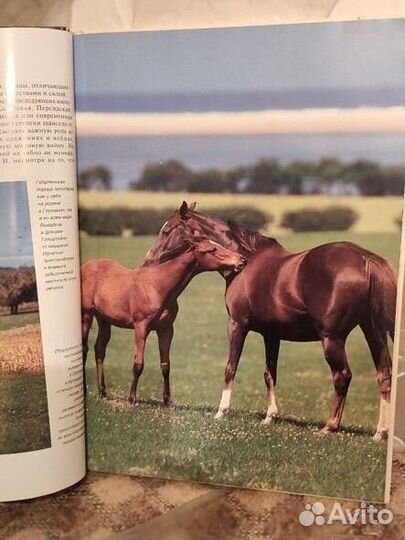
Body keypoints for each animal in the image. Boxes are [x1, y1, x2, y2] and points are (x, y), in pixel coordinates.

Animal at [79, 236, 243, 404]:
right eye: (213, 250)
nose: (241, 259)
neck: (157, 287)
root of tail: (85, 267)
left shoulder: (166, 329)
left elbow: (166, 365)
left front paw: (167, 400)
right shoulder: (141, 327)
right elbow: (138, 364)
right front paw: (131, 398)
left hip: (104, 320)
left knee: (99, 349)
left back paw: (102, 393)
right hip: (86, 316)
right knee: (84, 349)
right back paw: (84, 391)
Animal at [144, 201, 396, 438]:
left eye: (168, 230)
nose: (148, 260)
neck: (246, 261)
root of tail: (365, 258)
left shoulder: (237, 325)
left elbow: (230, 367)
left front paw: (221, 412)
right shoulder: (272, 335)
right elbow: (269, 374)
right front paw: (269, 417)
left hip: (332, 339)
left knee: (342, 376)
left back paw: (330, 426)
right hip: (372, 332)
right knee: (384, 374)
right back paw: (380, 432)